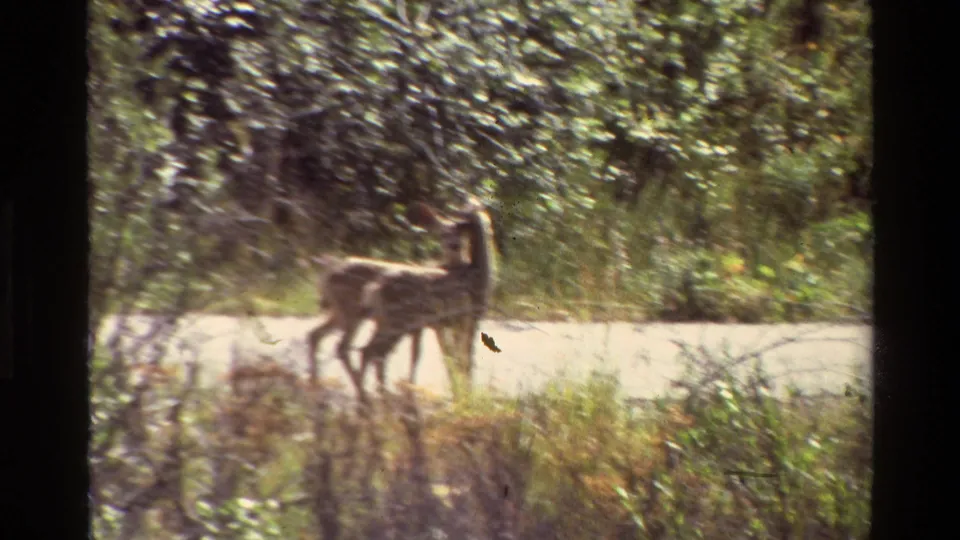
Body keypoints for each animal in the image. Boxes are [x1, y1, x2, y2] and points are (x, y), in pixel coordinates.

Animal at [305, 203, 474, 387]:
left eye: (460, 233)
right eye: (442, 233)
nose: (455, 245)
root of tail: (327, 275)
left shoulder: (421, 325)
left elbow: (419, 353)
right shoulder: (431, 322)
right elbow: (431, 353)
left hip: (339, 312)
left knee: (315, 334)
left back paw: (316, 380)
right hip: (350, 311)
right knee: (342, 345)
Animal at [353, 195, 497, 402]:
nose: (454, 244)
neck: (479, 273)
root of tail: (374, 288)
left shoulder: (451, 322)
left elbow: (454, 357)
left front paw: (459, 391)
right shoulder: (470, 317)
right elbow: (465, 358)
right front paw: (466, 393)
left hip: (389, 321)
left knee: (372, 351)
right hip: (397, 320)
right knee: (372, 351)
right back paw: (370, 397)